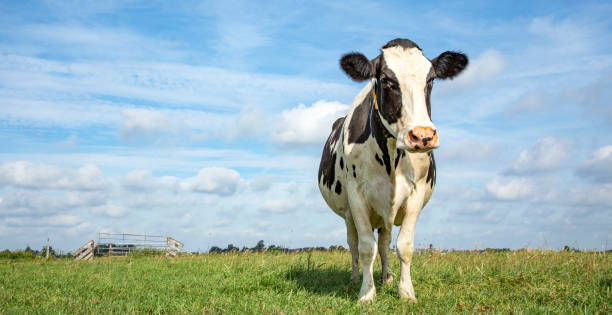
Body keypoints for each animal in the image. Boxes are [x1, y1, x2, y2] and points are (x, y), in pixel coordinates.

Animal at [318, 38, 466, 302]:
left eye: (431, 79)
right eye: (386, 79)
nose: (422, 136)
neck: (390, 158)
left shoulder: (416, 192)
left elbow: (403, 246)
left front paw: (406, 292)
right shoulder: (356, 194)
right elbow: (366, 247)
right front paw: (366, 293)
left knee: (386, 243)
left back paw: (386, 276)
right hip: (347, 213)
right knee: (353, 242)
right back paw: (355, 277)